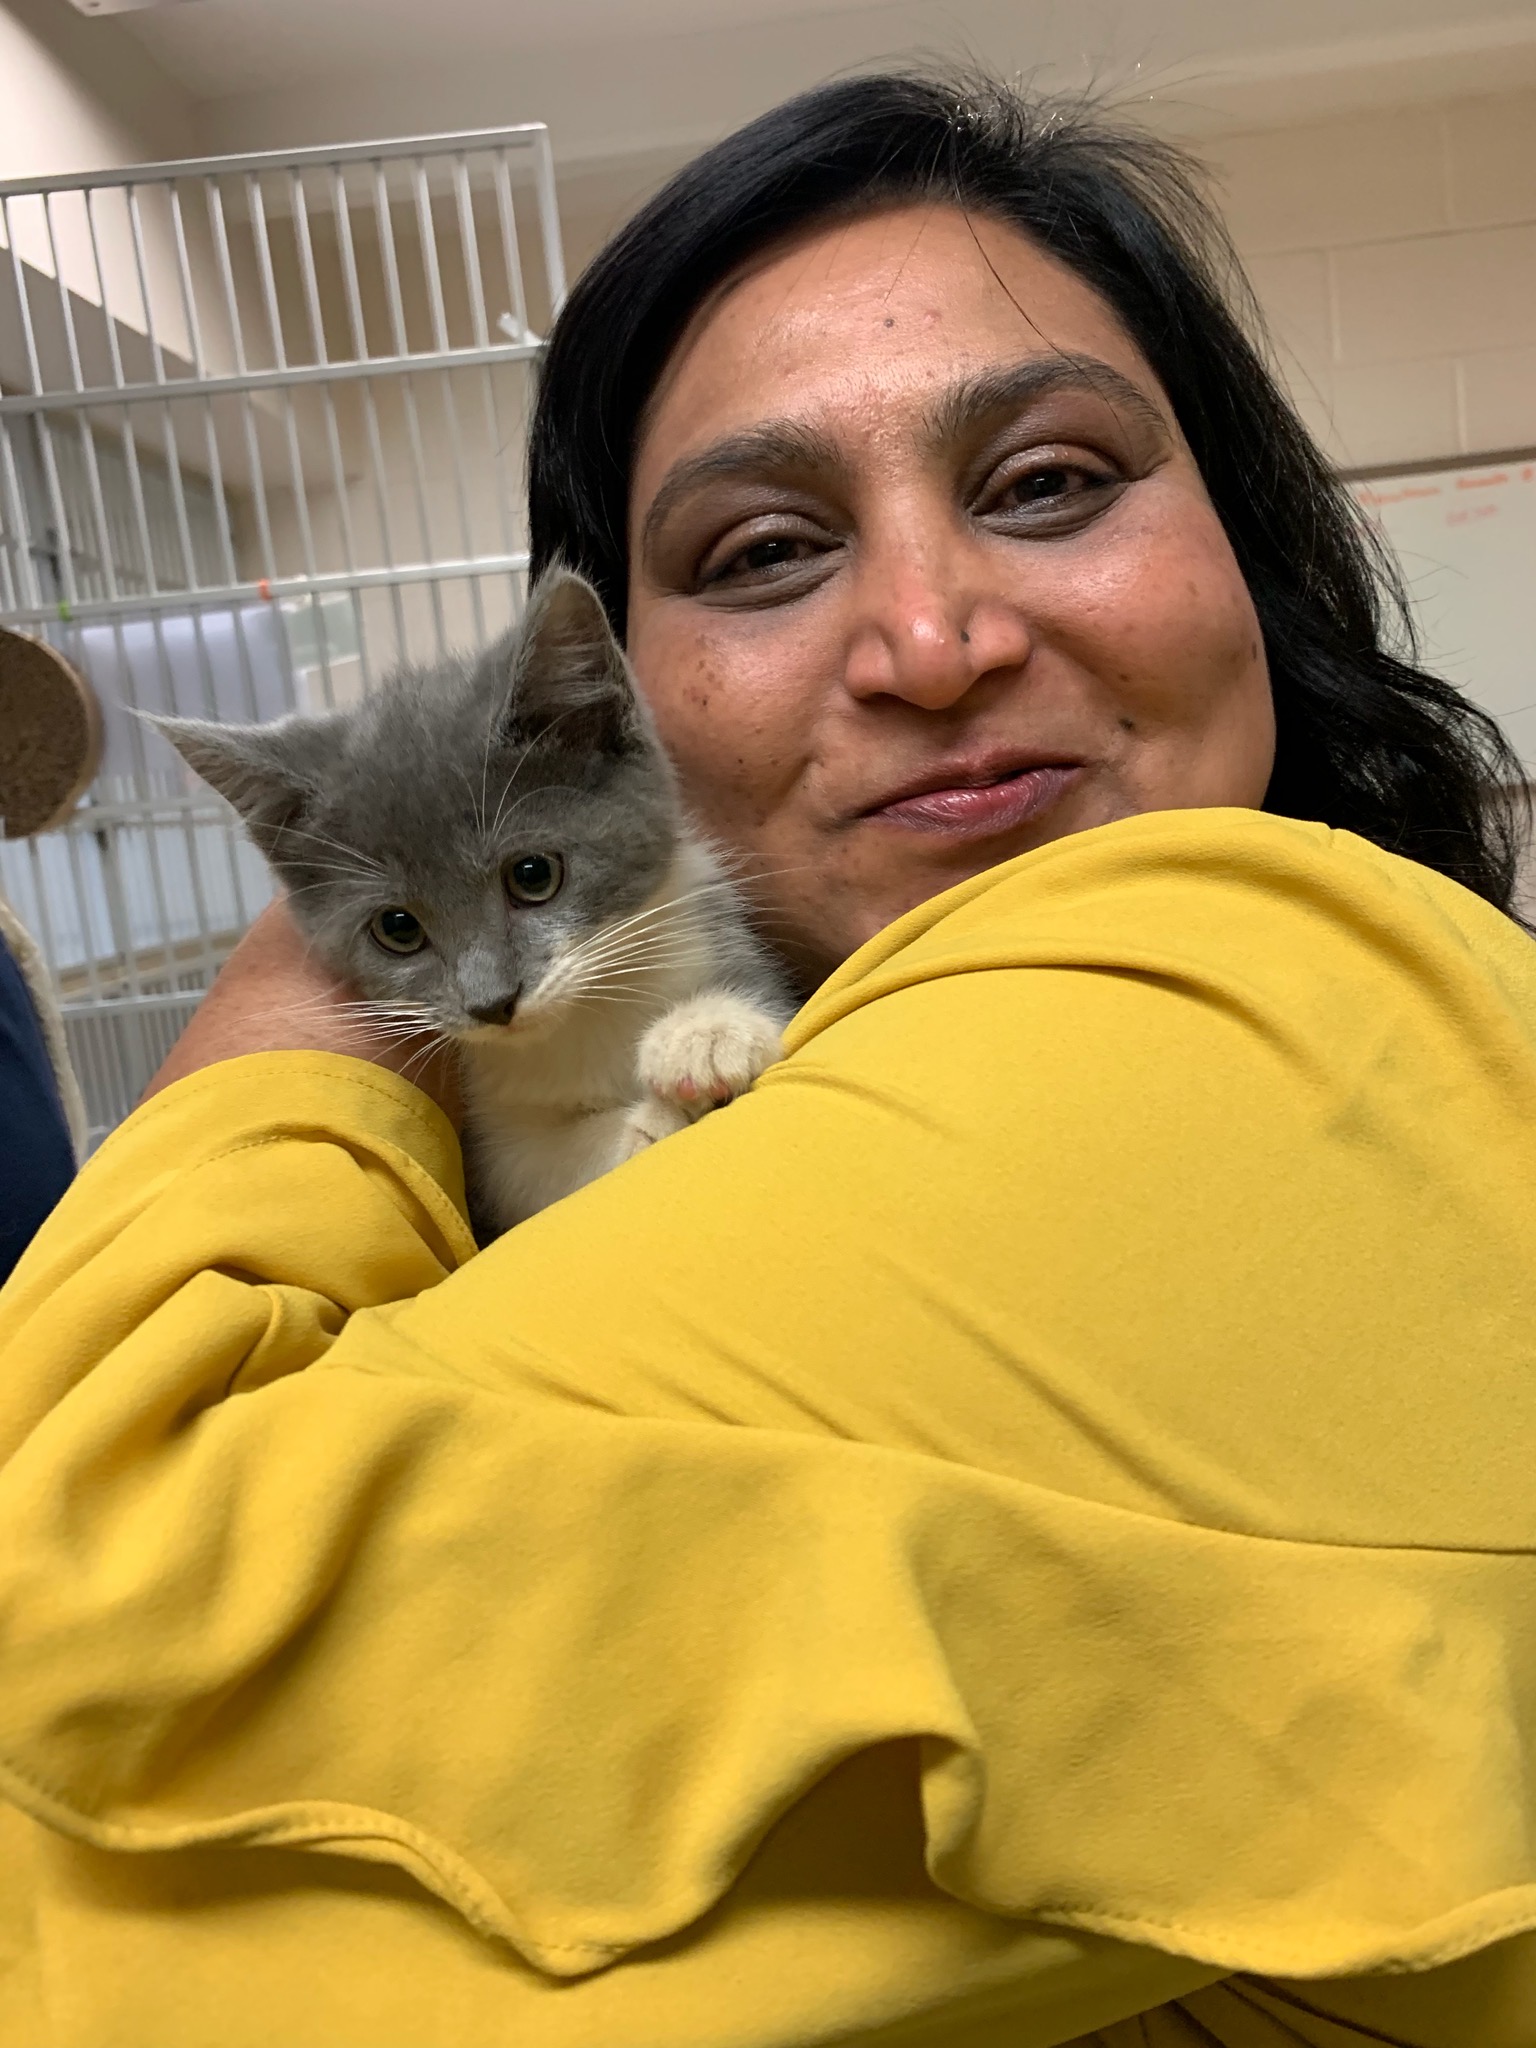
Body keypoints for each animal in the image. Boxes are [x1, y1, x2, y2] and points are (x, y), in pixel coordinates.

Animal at [153, 568, 793, 1238]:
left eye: (533, 875)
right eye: (397, 928)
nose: (493, 1004)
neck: (582, 1020)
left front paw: (709, 1033)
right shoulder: (492, 1140)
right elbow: (526, 1169)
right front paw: (648, 1123)